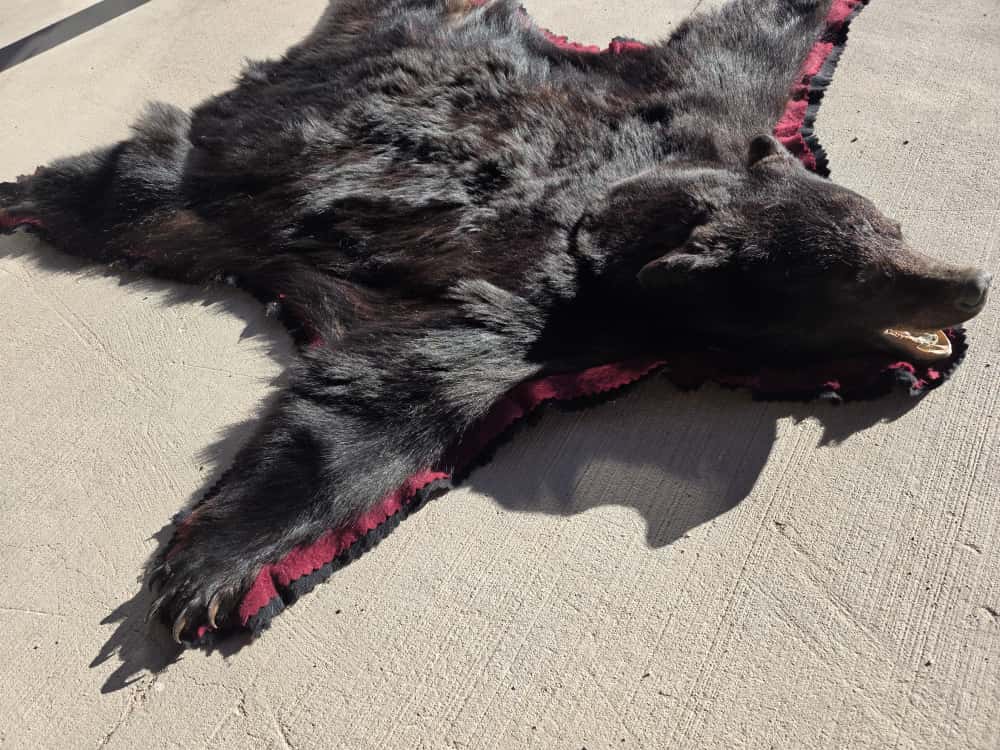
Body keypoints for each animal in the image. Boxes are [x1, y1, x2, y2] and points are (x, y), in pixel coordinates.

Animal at [0, 0, 990, 643]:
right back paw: (23, 194)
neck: (626, 221)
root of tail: (276, 78)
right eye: (858, 282)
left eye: (891, 227)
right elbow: (382, 400)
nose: (974, 282)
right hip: (202, 197)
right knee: (125, 191)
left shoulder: (708, 108)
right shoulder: (521, 315)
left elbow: (746, 34)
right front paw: (206, 574)